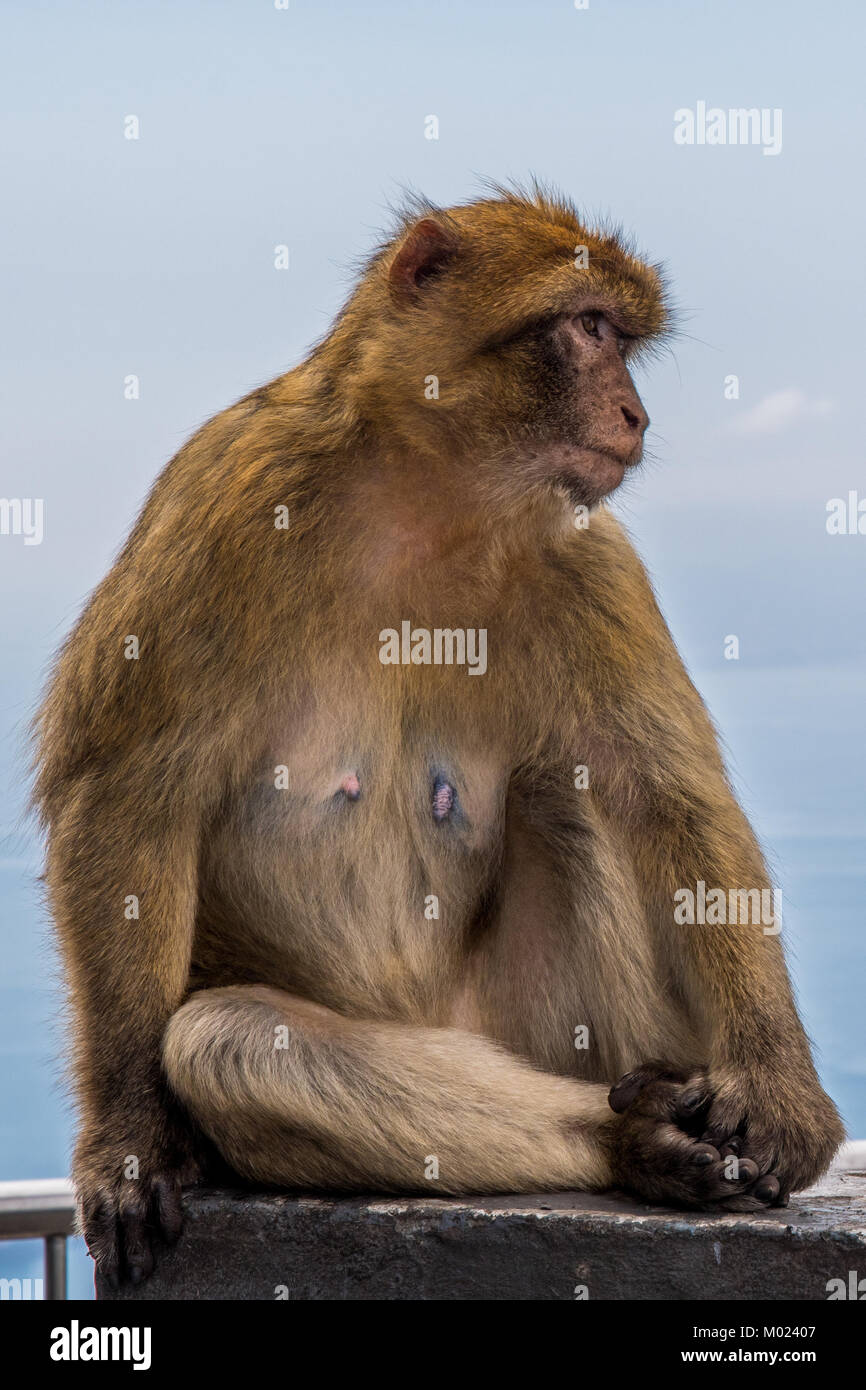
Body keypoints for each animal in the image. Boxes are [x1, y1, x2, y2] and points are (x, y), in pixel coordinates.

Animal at [35, 182, 845, 1278]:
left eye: (619, 336)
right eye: (589, 329)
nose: (634, 414)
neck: (428, 495)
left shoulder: (589, 558)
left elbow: (671, 799)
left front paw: (780, 1091)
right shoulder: (224, 496)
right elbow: (124, 798)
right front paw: (127, 1143)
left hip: (528, 1026)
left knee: (569, 795)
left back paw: (653, 1129)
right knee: (231, 1044)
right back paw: (631, 1141)